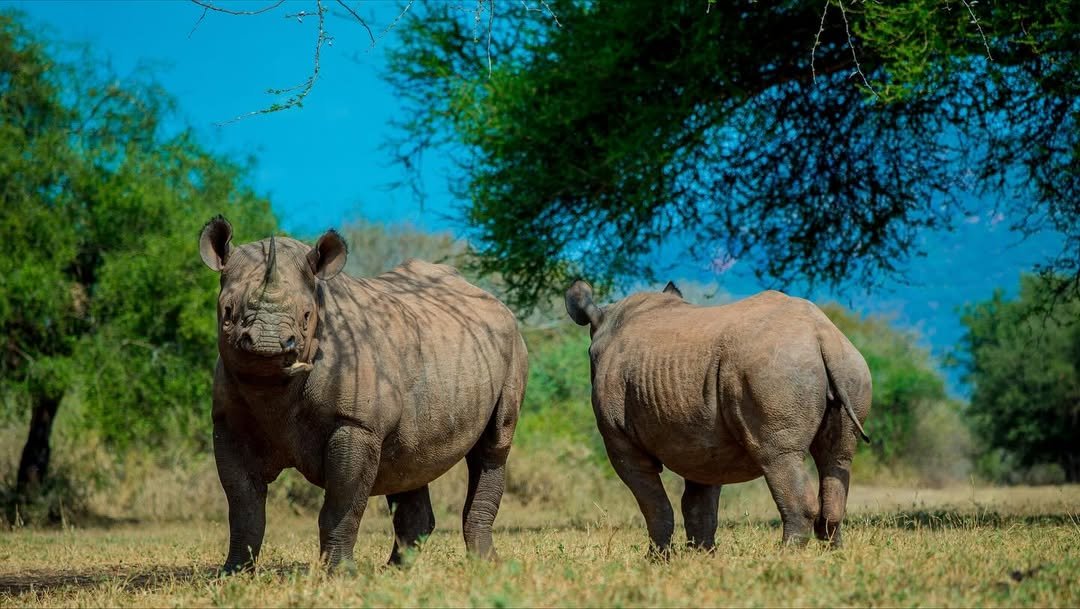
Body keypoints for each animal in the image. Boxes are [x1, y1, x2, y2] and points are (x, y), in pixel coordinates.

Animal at [198, 216, 527, 571]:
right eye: (227, 311)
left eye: (306, 316)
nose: (267, 345)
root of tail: (492, 299)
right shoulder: (228, 422)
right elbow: (243, 505)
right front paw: (233, 573)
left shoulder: (356, 423)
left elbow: (342, 501)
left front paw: (340, 573)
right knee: (407, 458)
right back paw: (396, 570)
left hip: (511, 344)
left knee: (494, 445)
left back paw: (487, 564)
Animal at [565, 280, 871, 552]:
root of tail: (821, 335)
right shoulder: (703, 442)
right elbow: (699, 506)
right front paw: (702, 556)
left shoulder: (620, 440)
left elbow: (653, 504)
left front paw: (657, 560)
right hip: (849, 365)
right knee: (837, 458)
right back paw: (832, 555)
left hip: (775, 369)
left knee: (779, 456)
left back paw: (786, 556)